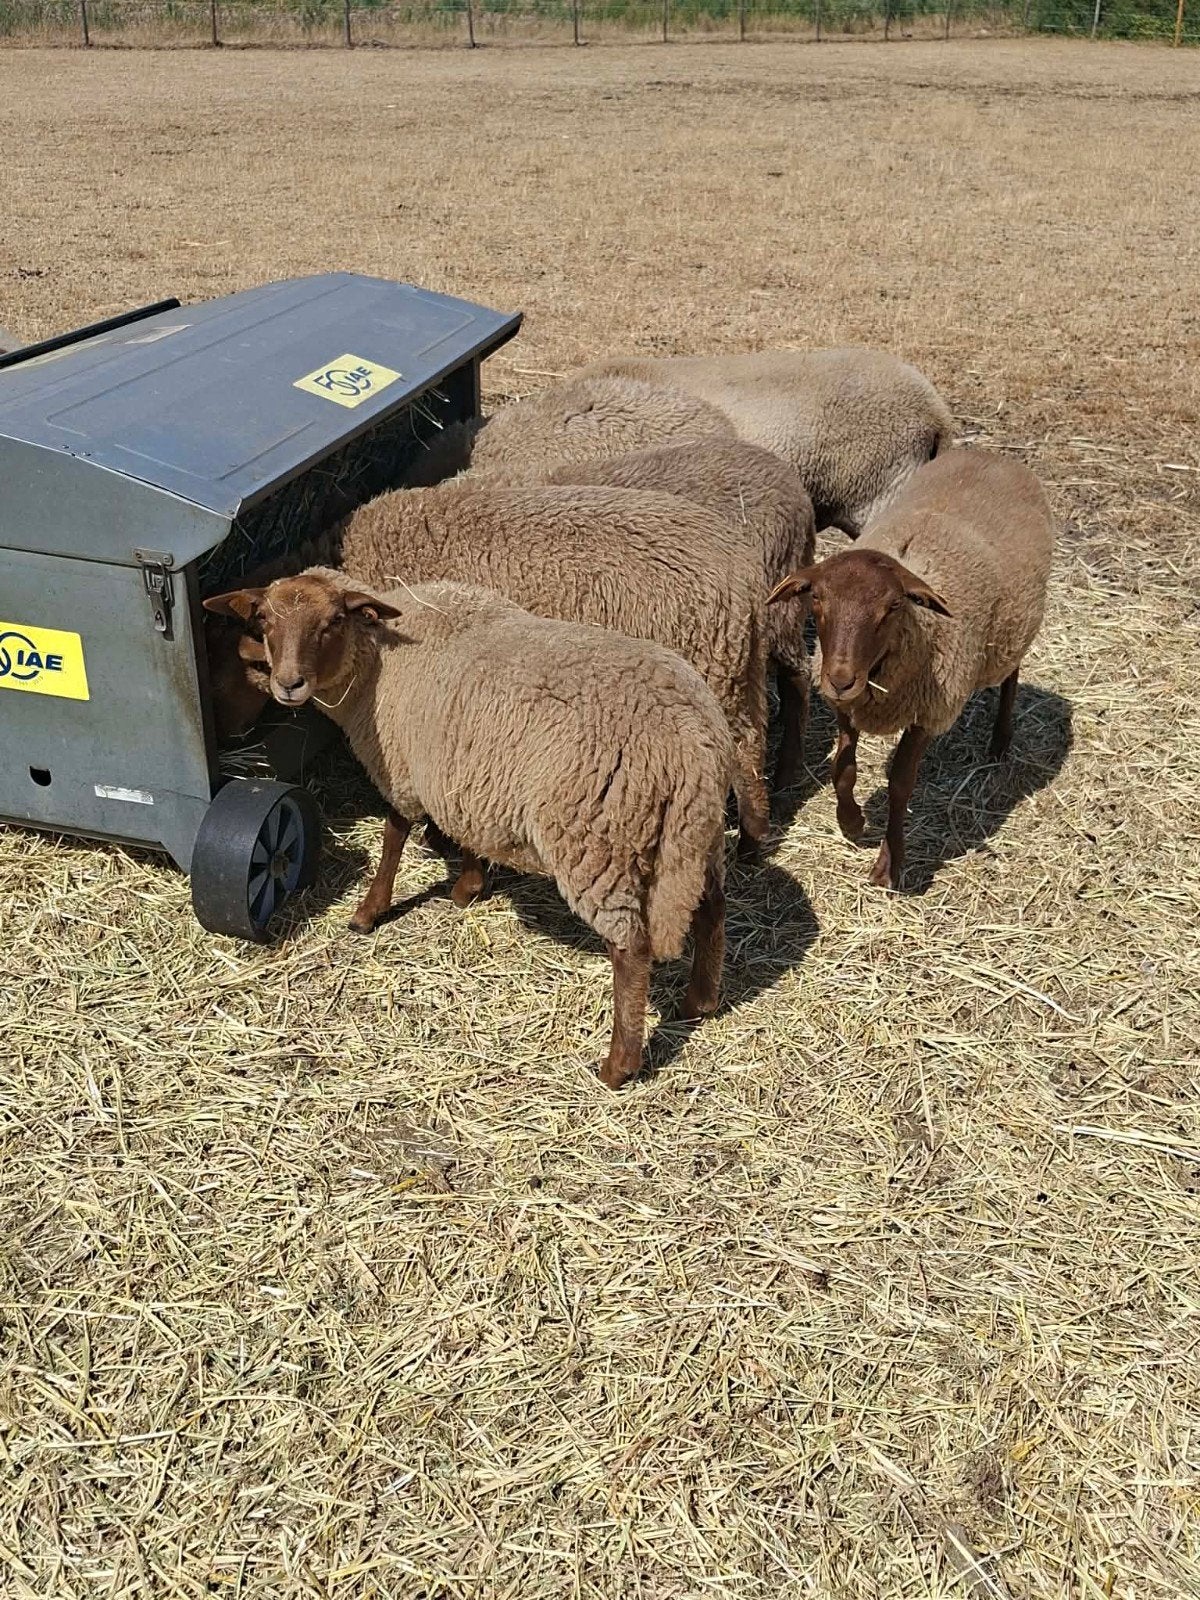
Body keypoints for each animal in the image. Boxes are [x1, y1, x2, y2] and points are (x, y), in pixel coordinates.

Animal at [204, 571, 734, 1089]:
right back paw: (700, 1002)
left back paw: (617, 1066)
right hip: (693, 835)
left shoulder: (402, 767)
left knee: (630, 949)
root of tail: (691, 741)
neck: (377, 662)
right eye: (265, 620)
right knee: (712, 906)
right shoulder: (459, 774)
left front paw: (369, 911)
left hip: (599, 843)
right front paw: (468, 887)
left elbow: (394, 835)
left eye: (333, 620)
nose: (289, 685)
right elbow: (464, 832)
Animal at [207, 477, 773, 855]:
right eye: (262, 636)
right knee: (751, 741)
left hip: (712, 663)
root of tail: (744, 572)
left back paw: (749, 841)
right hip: (737, 669)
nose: (228, 734)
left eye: (250, 660)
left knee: (743, 756)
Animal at [767, 447, 1055, 891]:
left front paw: (889, 865)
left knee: (1010, 674)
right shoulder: (848, 707)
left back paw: (1001, 739)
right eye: (816, 598)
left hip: (1013, 626)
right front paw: (851, 822)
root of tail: (990, 454)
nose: (840, 679)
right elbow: (842, 769)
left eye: (893, 607)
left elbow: (901, 785)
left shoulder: (929, 711)